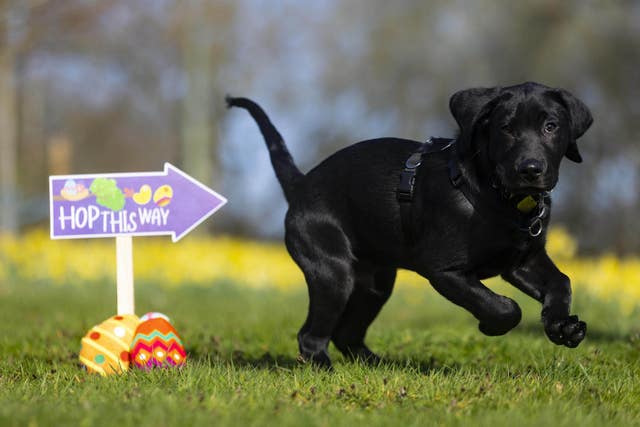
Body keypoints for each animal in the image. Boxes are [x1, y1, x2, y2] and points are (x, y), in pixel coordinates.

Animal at [228, 82, 592, 370]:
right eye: (506, 128)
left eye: (551, 126)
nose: (530, 169)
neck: (501, 198)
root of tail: (300, 185)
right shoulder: (444, 270)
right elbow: (503, 307)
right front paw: (491, 326)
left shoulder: (522, 260)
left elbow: (561, 281)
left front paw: (562, 326)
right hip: (333, 272)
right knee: (311, 334)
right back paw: (321, 366)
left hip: (375, 282)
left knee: (346, 333)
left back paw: (376, 364)